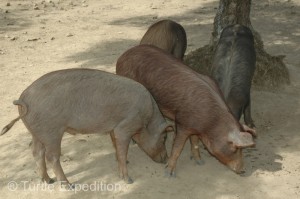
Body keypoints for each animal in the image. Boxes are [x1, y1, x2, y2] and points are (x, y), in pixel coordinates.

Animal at [1, 68, 171, 185]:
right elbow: (123, 150)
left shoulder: (113, 128)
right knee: (51, 156)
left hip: (37, 132)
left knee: (36, 152)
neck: (147, 118)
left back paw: (48, 181)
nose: (166, 159)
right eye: (164, 137)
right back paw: (68, 185)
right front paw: (128, 180)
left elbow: (116, 146)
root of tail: (23, 97)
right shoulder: (124, 127)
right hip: (51, 132)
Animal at [116, 45, 256, 177]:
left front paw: (200, 162)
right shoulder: (182, 122)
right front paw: (168, 174)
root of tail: (123, 56)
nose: (243, 170)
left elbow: (194, 142)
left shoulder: (195, 127)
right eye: (235, 149)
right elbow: (177, 148)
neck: (211, 123)